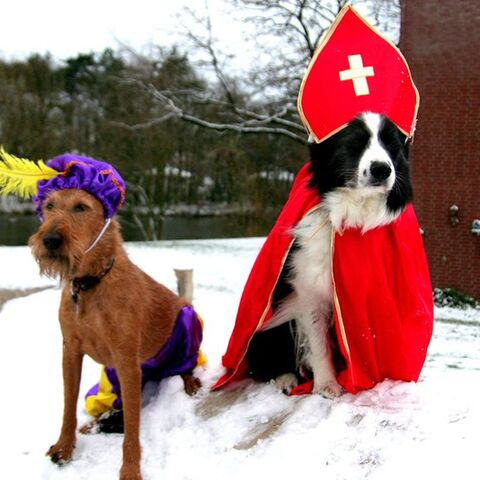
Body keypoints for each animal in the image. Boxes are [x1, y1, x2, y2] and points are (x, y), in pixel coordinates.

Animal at [28, 188, 201, 480]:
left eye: (81, 207)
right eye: (50, 205)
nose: (50, 240)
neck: (90, 284)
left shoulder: (126, 361)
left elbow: (132, 427)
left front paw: (130, 470)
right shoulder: (70, 351)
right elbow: (68, 406)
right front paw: (65, 447)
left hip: (189, 319)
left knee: (188, 364)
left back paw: (190, 382)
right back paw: (96, 422)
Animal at [248, 112, 412, 398]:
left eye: (392, 144)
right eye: (354, 143)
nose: (382, 169)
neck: (356, 212)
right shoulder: (308, 289)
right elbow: (318, 341)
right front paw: (327, 385)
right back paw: (286, 379)